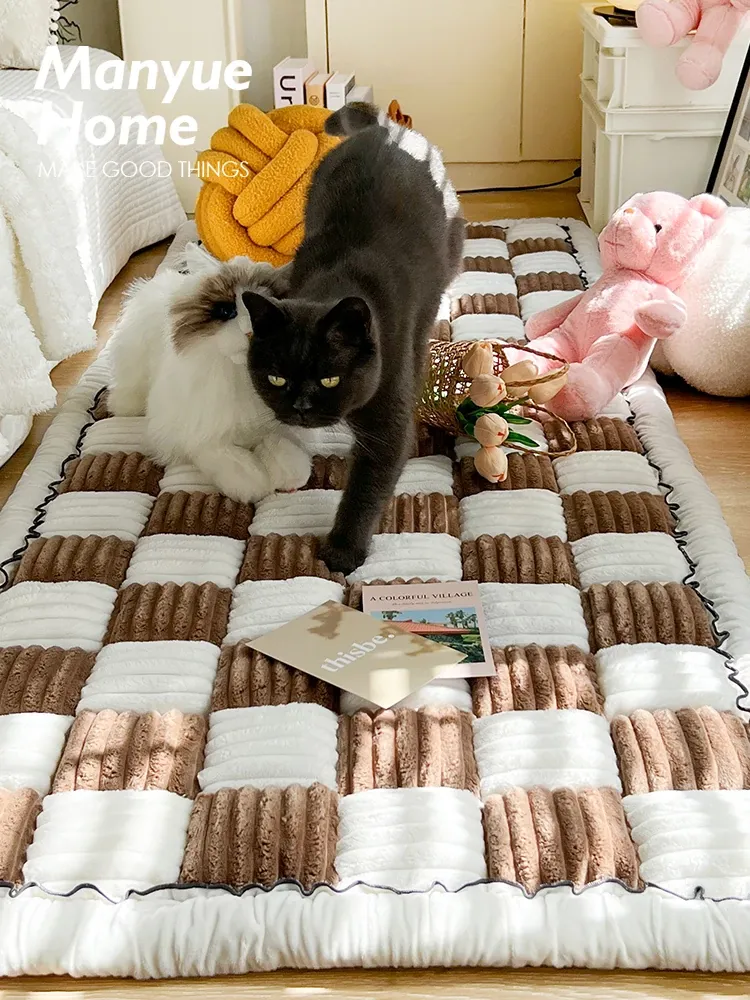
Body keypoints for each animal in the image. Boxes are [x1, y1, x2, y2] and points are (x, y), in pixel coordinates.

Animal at [109, 250, 311, 503]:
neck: (241, 376)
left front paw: (290, 472)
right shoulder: (189, 431)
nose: (250, 332)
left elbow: (278, 440)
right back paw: (123, 405)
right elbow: (221, 454)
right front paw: (252, 481)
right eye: (227, 311)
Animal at [243, 102, 465, 574]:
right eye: (275, 379)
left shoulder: (387, 419)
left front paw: (343, 551)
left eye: (330, 379)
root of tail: (386, 128)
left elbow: (365, 489)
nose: (301, 406)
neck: (335, 284)